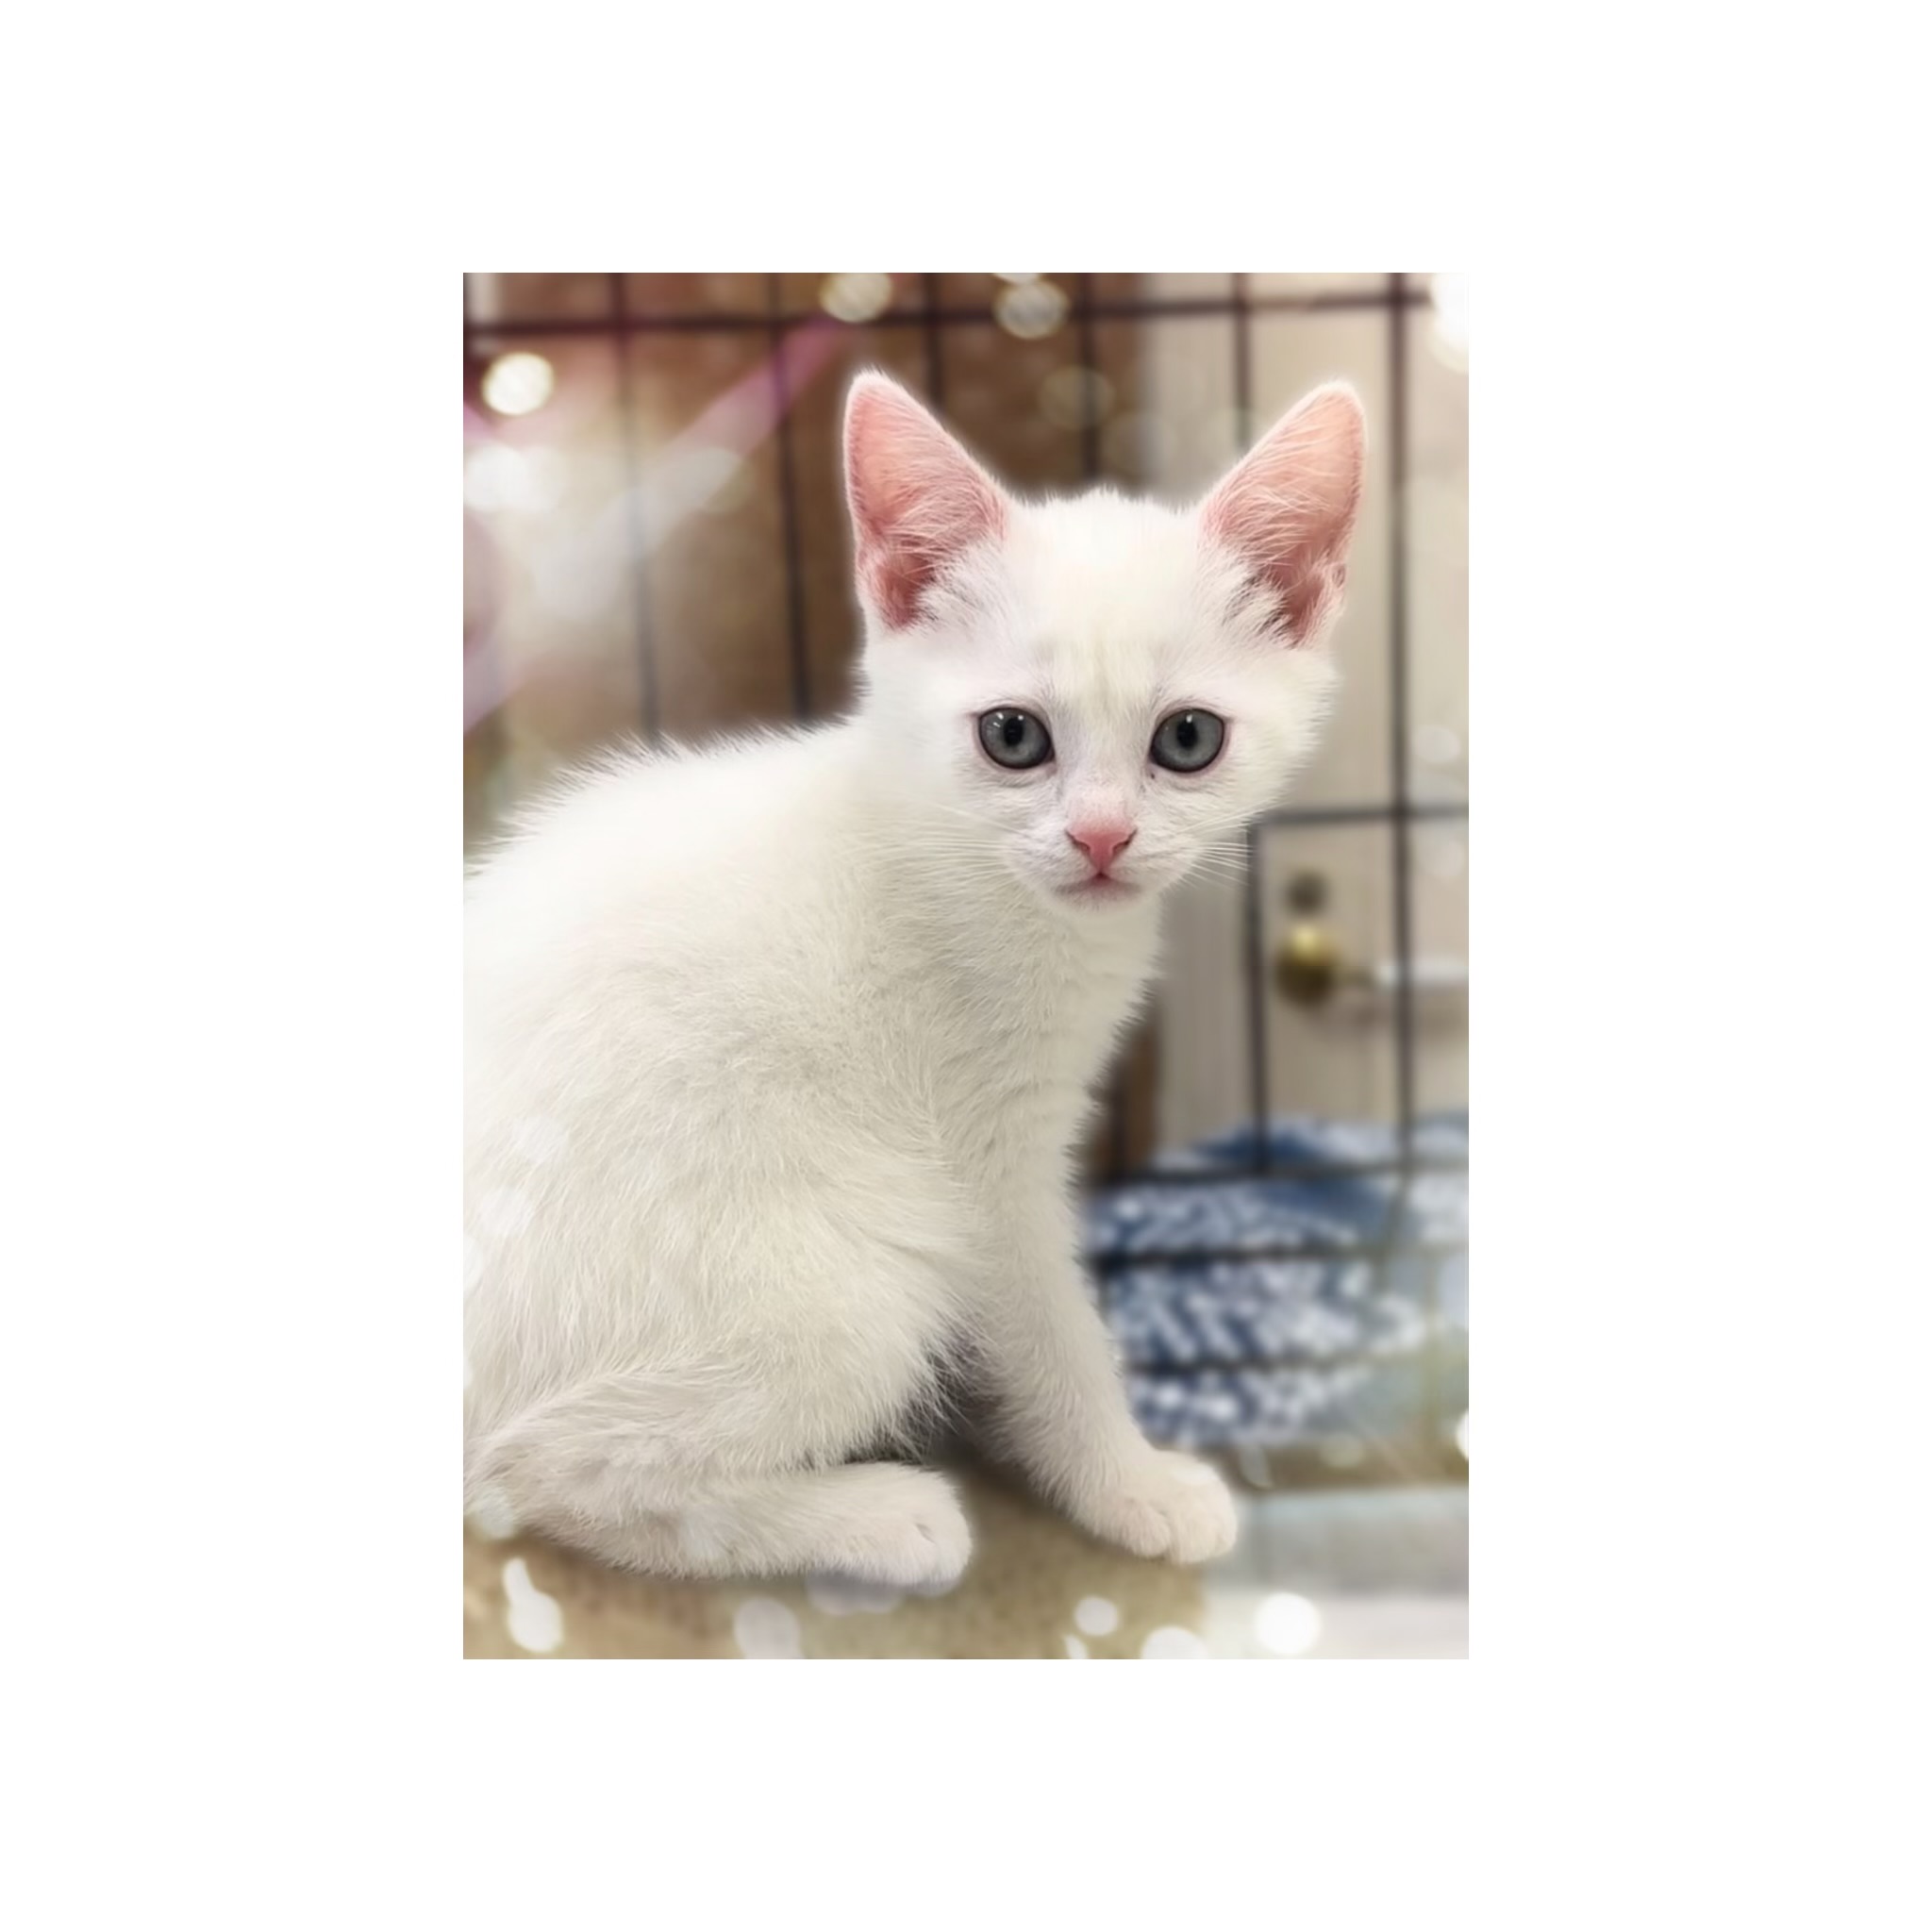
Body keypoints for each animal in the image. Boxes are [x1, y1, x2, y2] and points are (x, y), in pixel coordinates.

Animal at [464, 370, 1365, 1588]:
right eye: (1011, 735)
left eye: (1186, 738)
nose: (1099, 838)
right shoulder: (983, 1159)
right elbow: (1053, 1325)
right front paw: (1125, 1481)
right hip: (852, 1271)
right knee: (544, 1464)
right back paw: (880, 1519)